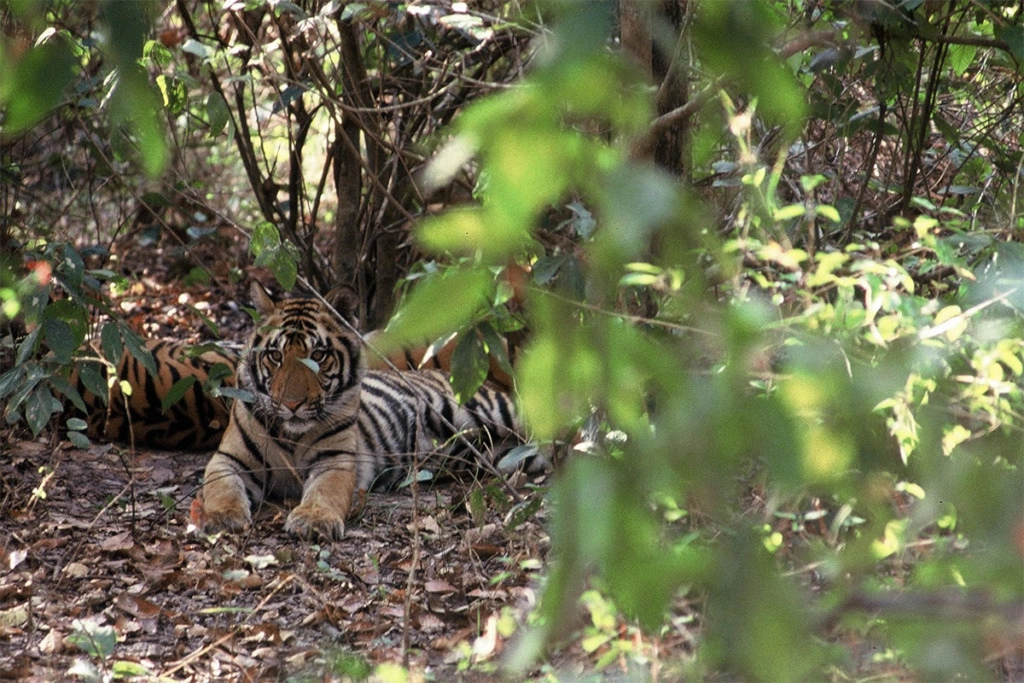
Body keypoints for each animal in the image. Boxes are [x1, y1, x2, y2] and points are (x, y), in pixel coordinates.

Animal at [199, 282, 526, 540]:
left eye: (319, 355)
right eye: (275, 356)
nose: (292, 405)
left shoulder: (336, 460)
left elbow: (324, 492)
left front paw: (313, 520)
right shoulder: (229, 458)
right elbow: (221, 488)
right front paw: (221, 518)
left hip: (493, 413)